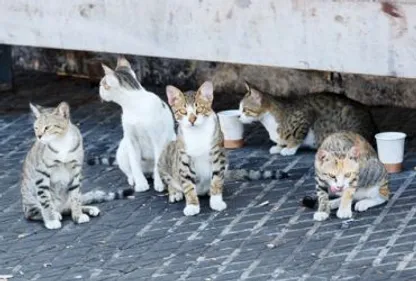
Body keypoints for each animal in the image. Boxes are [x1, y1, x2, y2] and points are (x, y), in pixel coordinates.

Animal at [21, 101, 133, 229]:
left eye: (47, 127)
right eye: (36, 128)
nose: (38, 136)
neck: (61, 143)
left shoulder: (75, 171)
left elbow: (75, 197)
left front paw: (78, 215)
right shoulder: (42, 174)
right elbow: (45, 201)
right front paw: (51, 220)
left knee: (70, 205)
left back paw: (88, 209)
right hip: (30, 201)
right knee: (34, 212)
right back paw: (55, 214)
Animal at [158, 81, 228, 217]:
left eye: (199, 109)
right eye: (183, 111)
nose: (192, 119)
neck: (197, 133)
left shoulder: (217, 154)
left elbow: (217, 179)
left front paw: (216, 201)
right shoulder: (184, 158)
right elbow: (188, 184)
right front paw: (192, 205)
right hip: (165, 154)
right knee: (170, 181)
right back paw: (175, 192)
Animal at [237, 81, 376, 155]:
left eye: (245, 110)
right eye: (239, 109)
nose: (238, 116)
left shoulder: (305, 115)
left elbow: (297, 136)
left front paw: (289, 149)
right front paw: (279, 146)